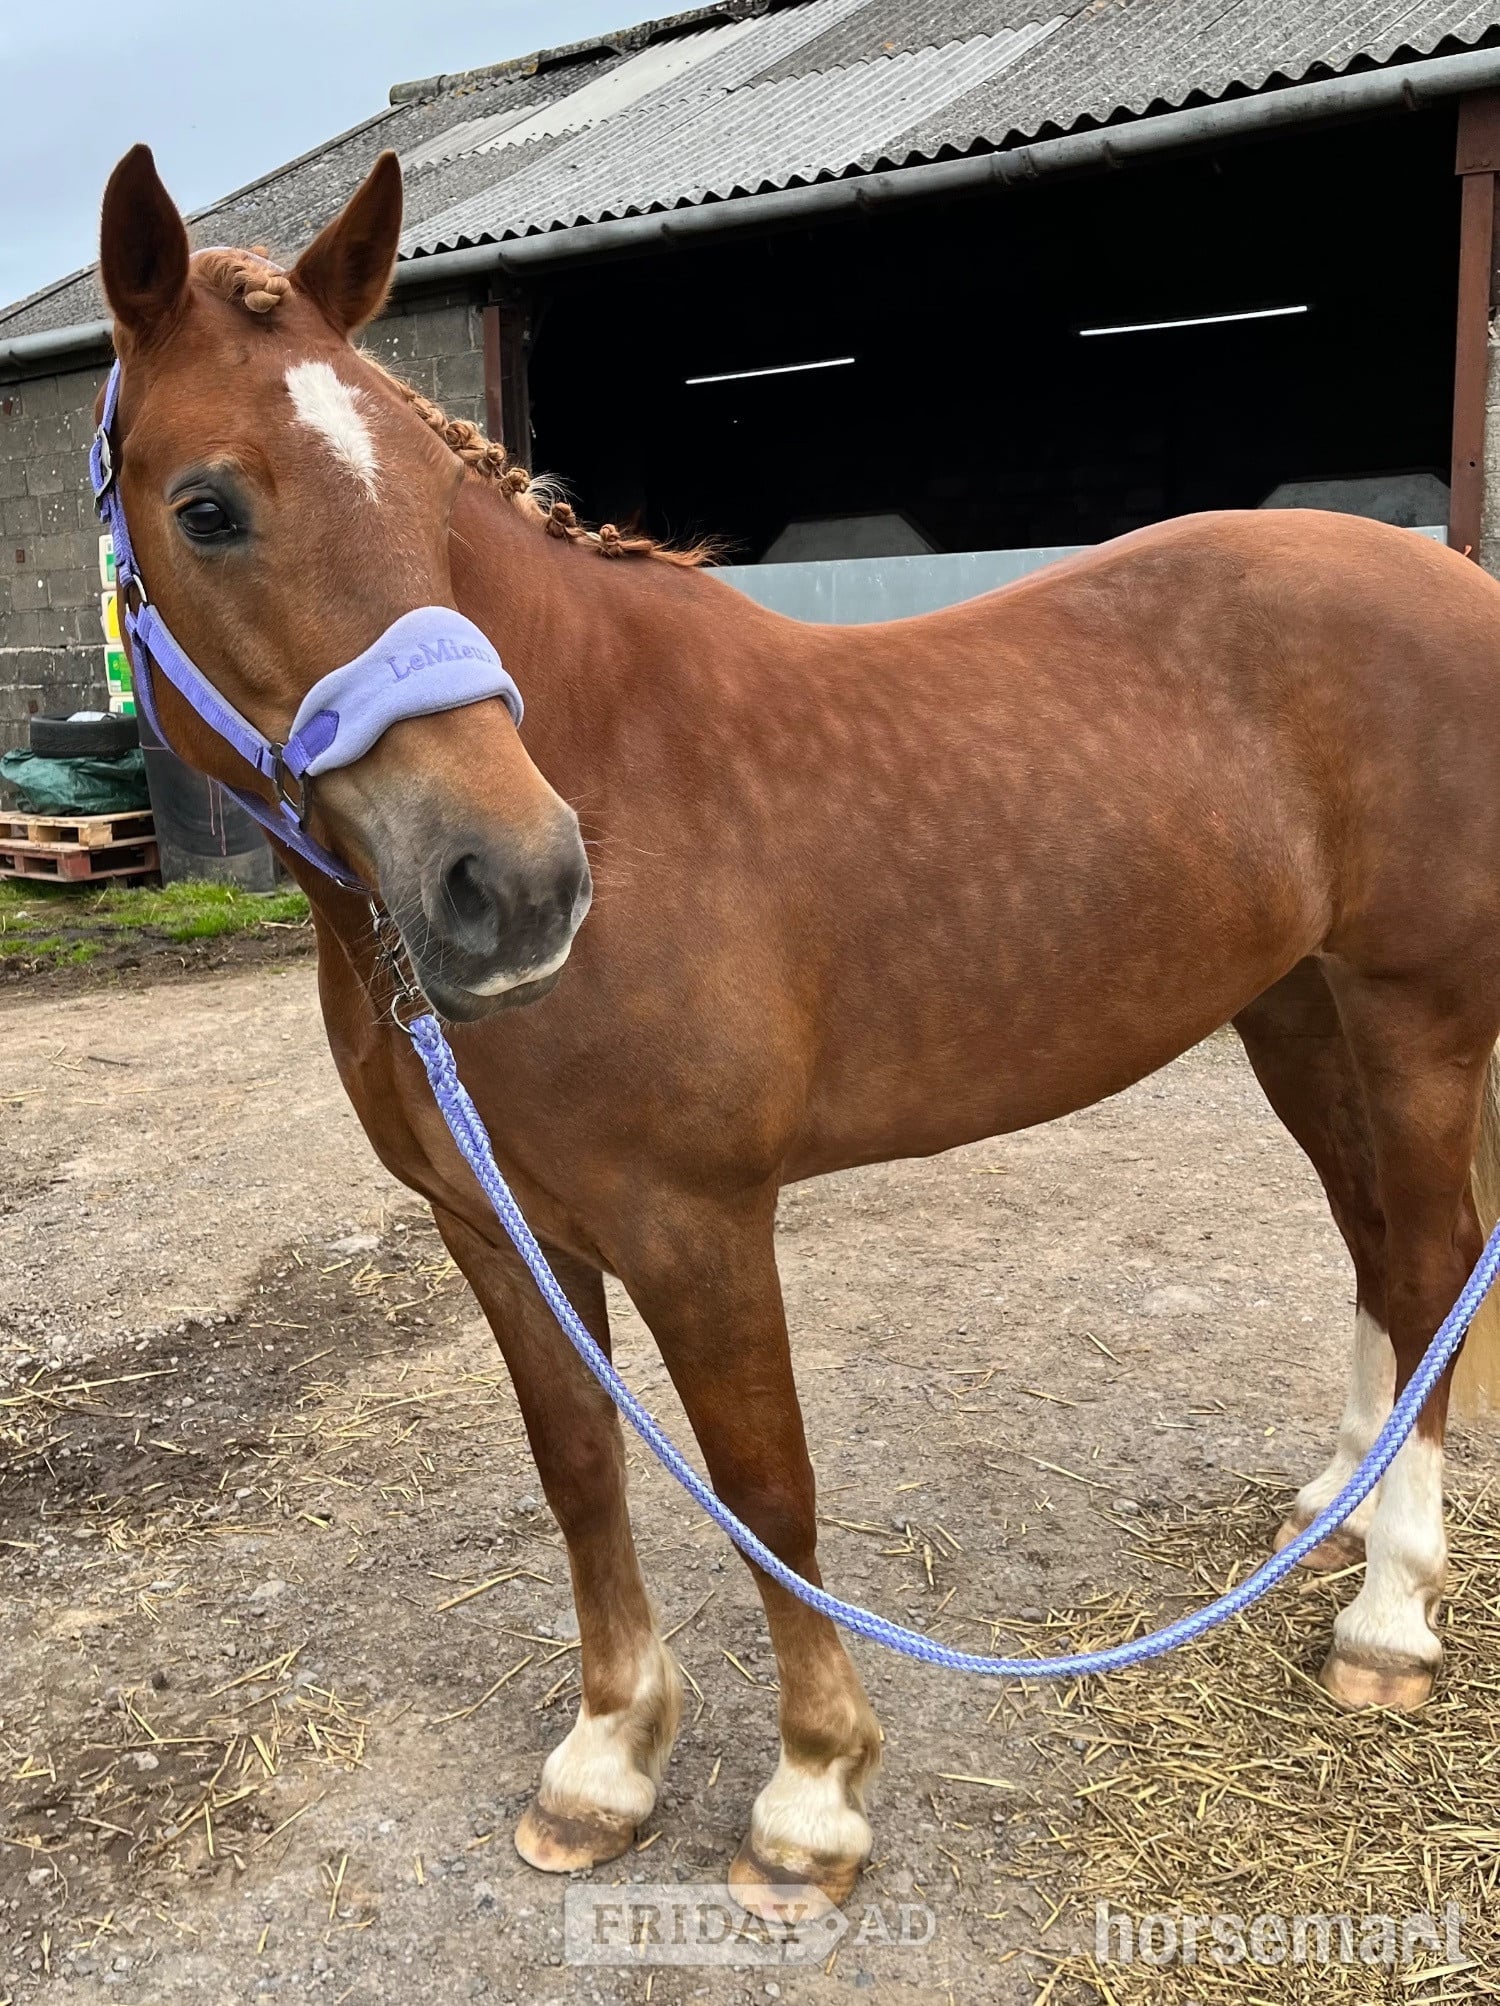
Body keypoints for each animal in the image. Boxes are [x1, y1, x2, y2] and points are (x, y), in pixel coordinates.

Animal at [94, 141, 1500, 1918]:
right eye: (206, 506)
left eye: (425, 505)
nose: (516, 885)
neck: (610, 758)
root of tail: (1453, 577)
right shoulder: (494, 1226)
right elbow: (581, 1466)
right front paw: (605, 1762)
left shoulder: (694, 1220)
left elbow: (767, 1485)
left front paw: (813, 1795)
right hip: (1296, 1014)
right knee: (1383, 1248)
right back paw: (1339, 1504)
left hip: (1414, 1014)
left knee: (1435, 1257)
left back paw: (1390, 1612)